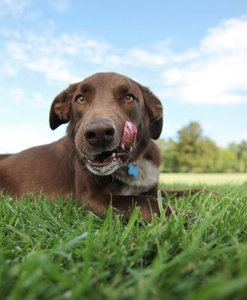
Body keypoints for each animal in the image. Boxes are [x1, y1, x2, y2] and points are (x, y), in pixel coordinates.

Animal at [0, 72, 210, 223]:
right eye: (80, 99)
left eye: (129, 97)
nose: (99, 133)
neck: (131, 163)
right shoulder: (93, 198)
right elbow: (142, 201)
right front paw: (185, 218)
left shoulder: (151, 188)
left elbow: (188, 191)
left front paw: (213, 194)